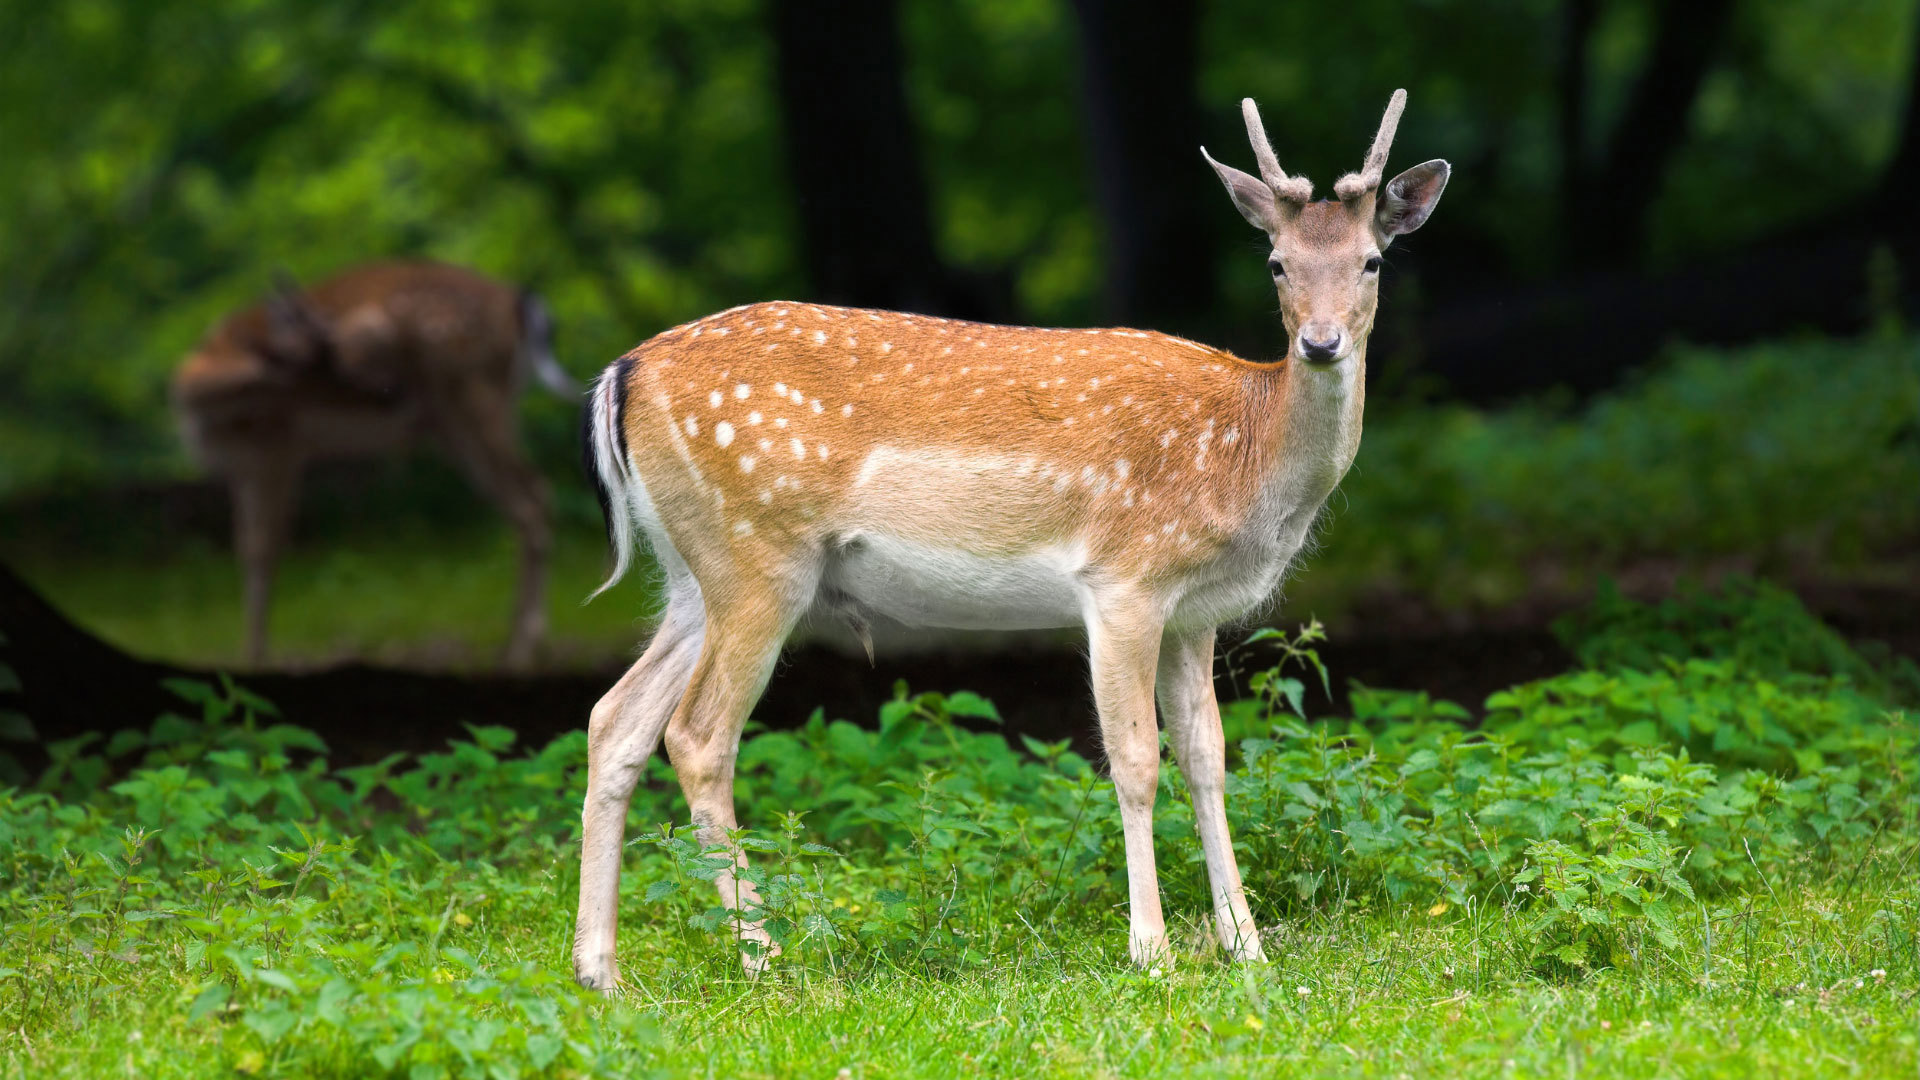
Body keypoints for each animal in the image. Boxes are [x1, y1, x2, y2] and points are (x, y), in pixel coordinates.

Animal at [172, 260, 579, 670]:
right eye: (333, 363)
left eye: (360, 347)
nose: (393, 395)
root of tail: (523, 302)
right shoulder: (243, 463)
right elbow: (245, 545)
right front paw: (250, 653)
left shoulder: (276, 450)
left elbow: (264, 546)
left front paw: (256, 657)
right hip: (455, 423)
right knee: (530, 495)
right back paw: (515, 644)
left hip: (472, 395)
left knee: (531, 498)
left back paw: (523, 649)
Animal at [571, 90, 1448, 988]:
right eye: (1275, 262)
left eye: (1373, 261)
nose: (1320, 341)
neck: (1245, 453)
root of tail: (620, 377)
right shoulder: (1124, 578)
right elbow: (1135, 759)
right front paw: (1152, 950)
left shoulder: (1195, 612)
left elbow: (1208, 757)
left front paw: (1247, 944)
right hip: (758, 555)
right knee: (698, 734)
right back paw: (762, 956)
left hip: (692, 574)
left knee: (615, 720)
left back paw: (600, 971)